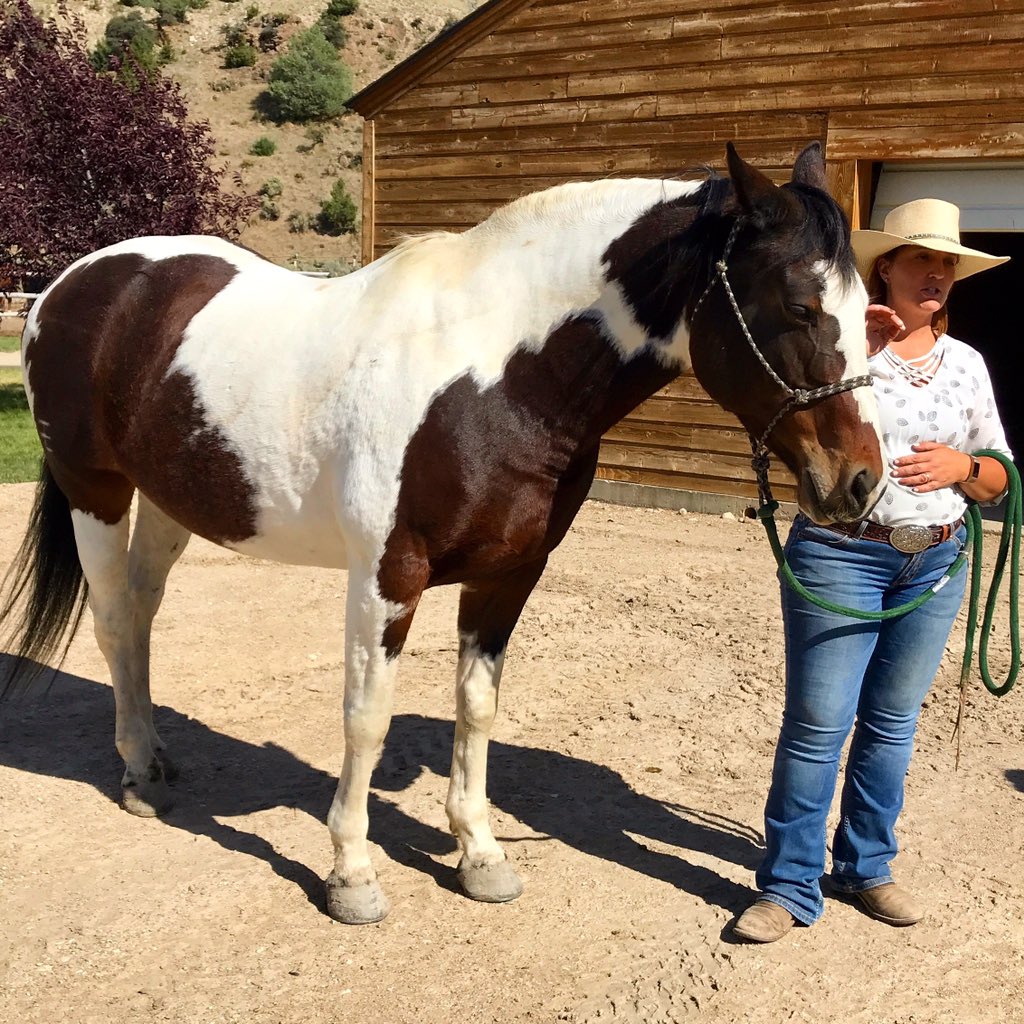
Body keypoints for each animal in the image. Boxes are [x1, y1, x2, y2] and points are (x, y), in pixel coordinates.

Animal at [0, 146, 884, 929]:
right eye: (798, 306)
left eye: (866, 313)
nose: (861, 484)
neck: (498, 376)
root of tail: (69, 284)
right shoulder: (388, 575)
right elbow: (367, 717)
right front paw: (352, 874)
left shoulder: (511, 575)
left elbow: (477, 707)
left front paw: (479, 855)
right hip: (96, 491)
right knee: (116, 621)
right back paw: (138, 775)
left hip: (167, 503)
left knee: (143, 618)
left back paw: (153, 755)